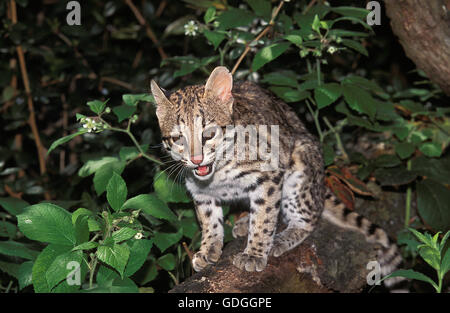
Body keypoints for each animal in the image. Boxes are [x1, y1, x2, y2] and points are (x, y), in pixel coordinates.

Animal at [151, 66, 400, 280]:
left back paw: (281, 237)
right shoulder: (199, 190)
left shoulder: (269, 176)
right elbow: (209, 220)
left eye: (209, 134)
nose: (196, 160)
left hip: (300, 171)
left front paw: (254, 253)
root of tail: (320, 184)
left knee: (310, 218)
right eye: (177, 138)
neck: (218, 174)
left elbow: (265, 216)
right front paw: (209, 247)